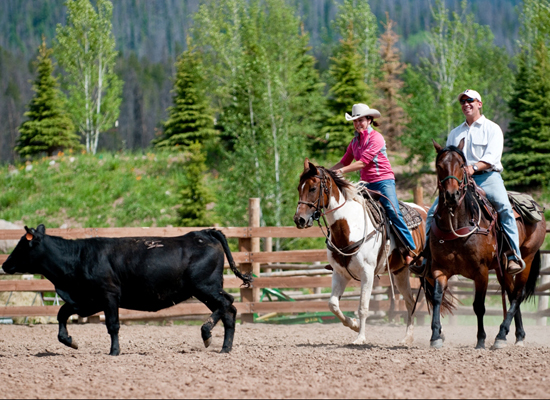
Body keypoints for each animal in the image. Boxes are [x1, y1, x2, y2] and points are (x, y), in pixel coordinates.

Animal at [1, 225, 252, 356]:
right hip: (206, 289)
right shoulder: (85, 300)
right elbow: (62, 314)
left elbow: (113, 325)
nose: (5, 264)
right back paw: (225, 348)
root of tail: (204, 232)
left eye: (22, 245)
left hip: (205, 287)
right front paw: (69, 340)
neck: (78, 257)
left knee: (227, 303)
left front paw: (114, 351)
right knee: (229, 312)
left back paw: (206, 333)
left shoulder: (109, 294)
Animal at [296, 158, 430, 346]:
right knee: (410, 301)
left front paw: (360, 338)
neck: (349, 227)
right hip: (400, 271)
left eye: (313, 188)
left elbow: (363, 307)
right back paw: (407, 338)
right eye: (298, 188)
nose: (299, 220)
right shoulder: (339, 273)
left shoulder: (367, 273)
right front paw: (353, 324)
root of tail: (426, 209)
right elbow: (333, 304)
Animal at [426, 140, 548, 350]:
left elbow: (479, 306)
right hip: (502, 269)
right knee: (511, 293)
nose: (451, 195)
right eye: (439, 165)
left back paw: (500, 335)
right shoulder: (439, 269)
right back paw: (517, 335)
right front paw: (435, 336)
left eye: (461, 165)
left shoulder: (480, 271)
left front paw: (481, 340)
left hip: (527, 258)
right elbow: (437, 298)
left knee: (518, 294)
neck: (458, 226)